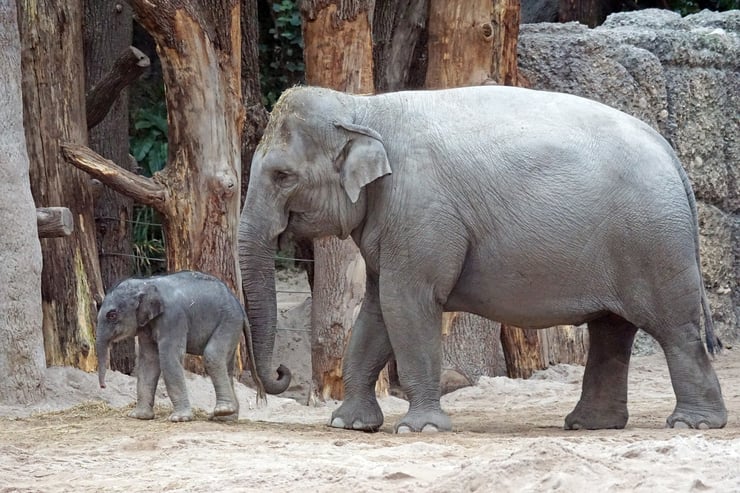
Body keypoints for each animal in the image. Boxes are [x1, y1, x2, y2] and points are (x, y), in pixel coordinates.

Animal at [96, 271, 265, 422]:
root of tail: (240, 306)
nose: (103, 386)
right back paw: (225, 417)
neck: (146, 282)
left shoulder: (173, 318)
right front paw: (138, 416)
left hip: (229, 321)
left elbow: (168, 359)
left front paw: (179, 418)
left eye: (112, 315)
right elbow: (149, 362)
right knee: (226, 366)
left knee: (212, 355)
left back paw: (223, 411)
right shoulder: (146, 326)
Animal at [238, 85, 727, 433]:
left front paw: (420, 430)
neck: (361, 107)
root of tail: (668, 150)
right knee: (611, 330)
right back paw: (590, 425)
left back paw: (693, 424)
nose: (280, 372)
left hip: (654, 241)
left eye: (282, 175)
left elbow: (407, 304)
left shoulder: (421, 212)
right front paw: (350, 424)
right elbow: (377, 310)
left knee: (674, 329)